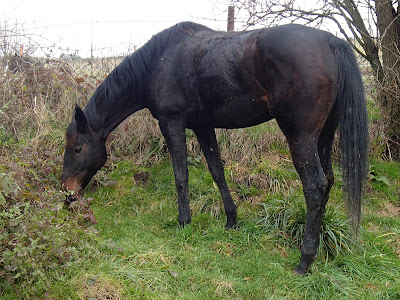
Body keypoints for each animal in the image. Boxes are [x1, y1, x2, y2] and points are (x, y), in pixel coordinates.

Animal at [61, 21, 368, 274]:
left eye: (77, 149)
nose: (67, 193)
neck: (159, 62)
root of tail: (332, 41)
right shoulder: (203, 126)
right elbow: (217, 171)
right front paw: (231, 219)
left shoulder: (172, 123)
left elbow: (181, 175)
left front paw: (184, 221)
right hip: (324, 136)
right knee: (328, 180)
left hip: (301, 137)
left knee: (314, 186)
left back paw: (305, 260)